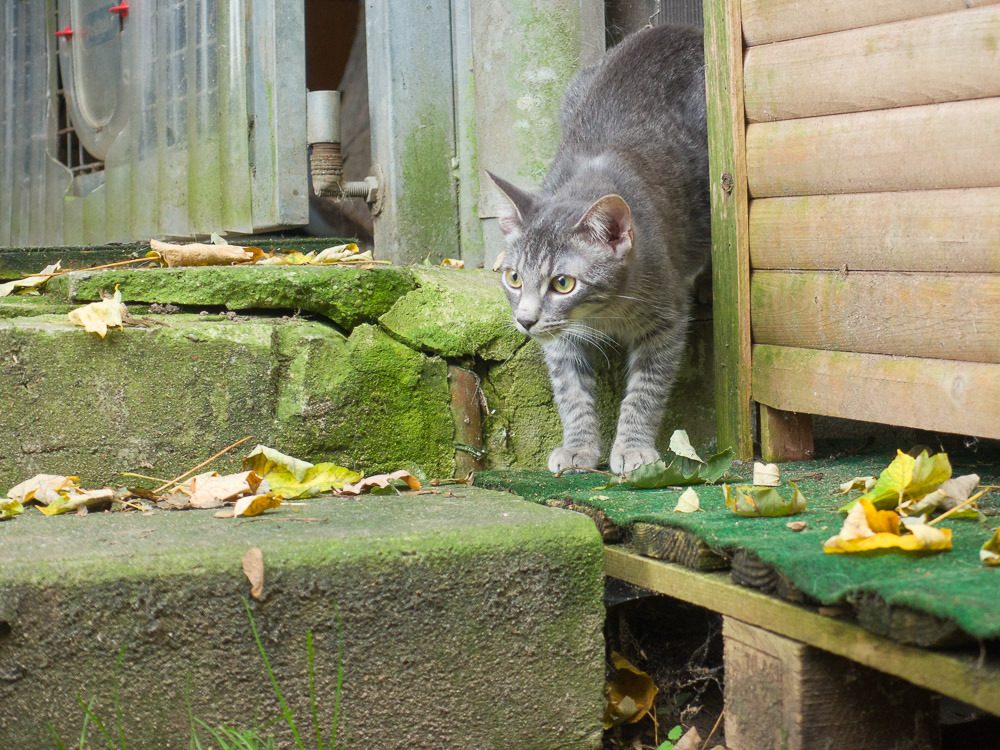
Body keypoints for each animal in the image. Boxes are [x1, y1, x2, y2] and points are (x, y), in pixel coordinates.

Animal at [488, 25, 708, 476]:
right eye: (514, 278)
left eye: (563, 283)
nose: (525, 321)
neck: (604, 312)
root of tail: (677, 28)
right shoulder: (560, 340)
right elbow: (570, 392)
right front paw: (579, 446)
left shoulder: (668, 319)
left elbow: (646, 389)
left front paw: (633, 447)